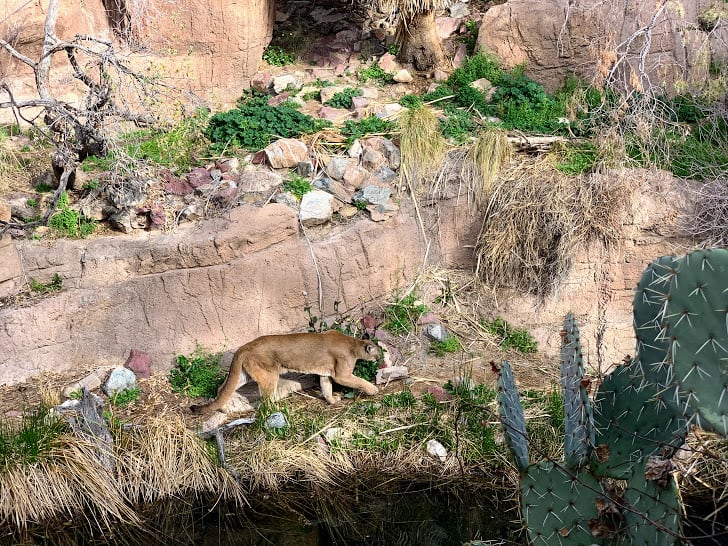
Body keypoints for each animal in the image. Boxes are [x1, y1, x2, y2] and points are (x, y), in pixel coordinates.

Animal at [191, 330, 378, 410]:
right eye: (379, 352)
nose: (379, 359)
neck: (354, 345)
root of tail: (242, 348)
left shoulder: (325, 374)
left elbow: (326, 388)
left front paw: (332, 400)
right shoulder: (342, 374)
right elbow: (358, 381)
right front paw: (373, 389)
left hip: (244, 375)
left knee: (222, 388)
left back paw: (222, 408)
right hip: (269, 375)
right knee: (265, 401)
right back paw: (276, 410)